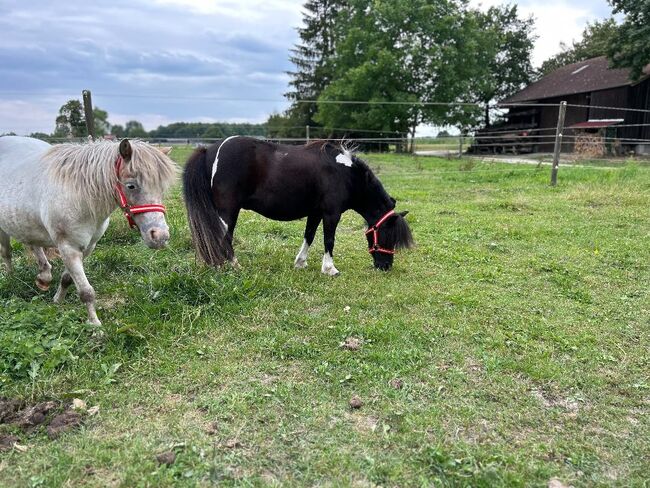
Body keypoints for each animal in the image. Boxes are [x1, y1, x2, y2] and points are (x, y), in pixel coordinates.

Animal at [0, 135, 177, 330]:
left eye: (161, 188)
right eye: (131, 186)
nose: (160, 237)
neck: (80, 197)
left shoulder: (88, 247)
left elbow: (67, 279)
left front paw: (57, 300)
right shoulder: (68, 248)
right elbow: (86, 292)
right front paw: (95, 326)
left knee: (33, 244)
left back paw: (44, 277)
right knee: (7, 253)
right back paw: (11, 280)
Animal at [180, 136, 412, 274]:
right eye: (387, 235)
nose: (385, 266)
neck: (344, 174)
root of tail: (210, 150)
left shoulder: (315, 213)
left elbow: (309, 236)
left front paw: (301, 262)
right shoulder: (331, 214)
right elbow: (329, 240)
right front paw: (330, 269)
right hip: (228, 211)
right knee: (223, 237)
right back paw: (232, 265)